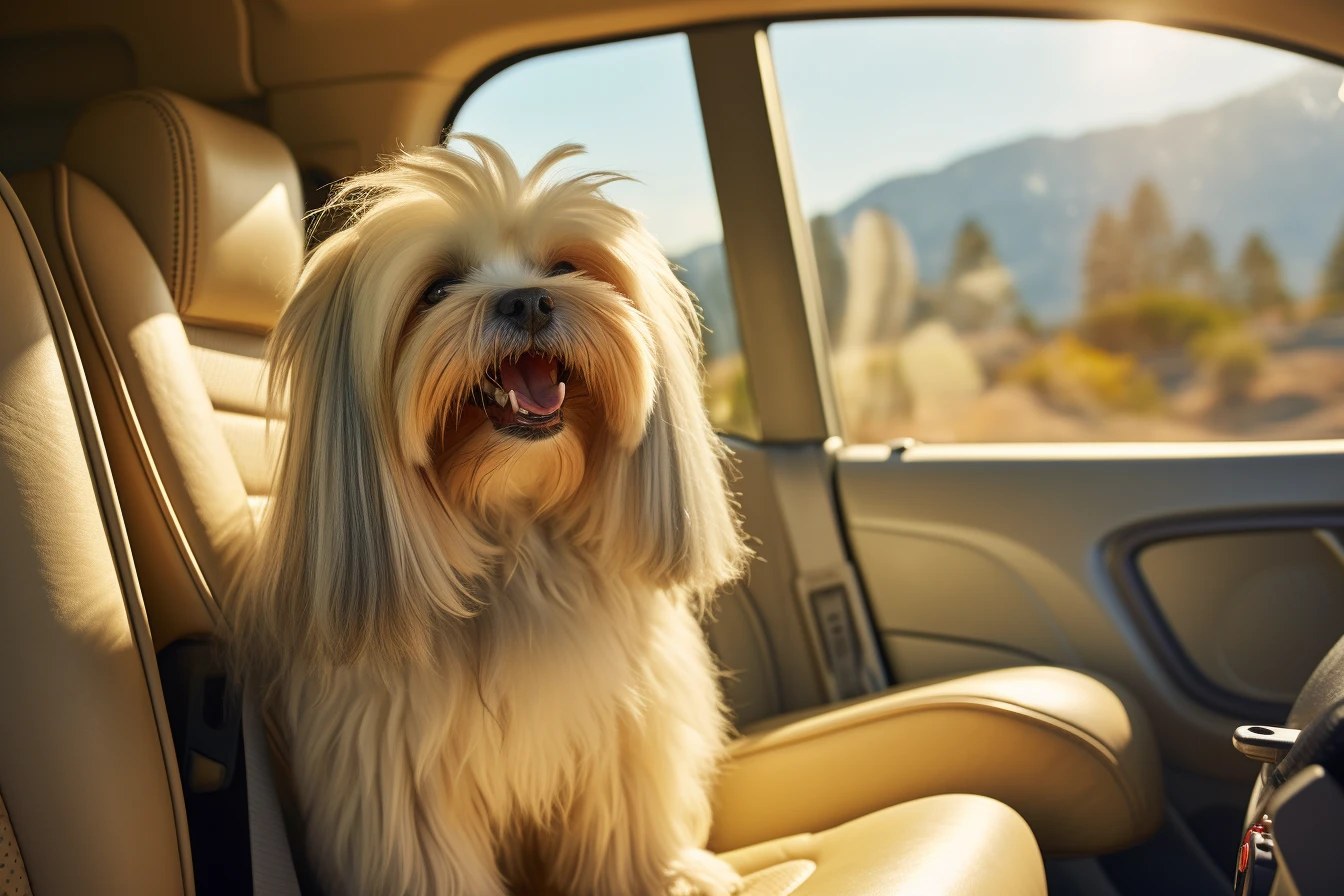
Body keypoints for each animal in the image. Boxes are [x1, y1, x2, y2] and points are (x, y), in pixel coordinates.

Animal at [235, 135, 752, 896]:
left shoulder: (625, 720)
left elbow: (630, 814)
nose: (529, 300)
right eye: (436, 290)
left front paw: (660, 876)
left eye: (564, 267)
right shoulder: (399, 772)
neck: (514, 525)